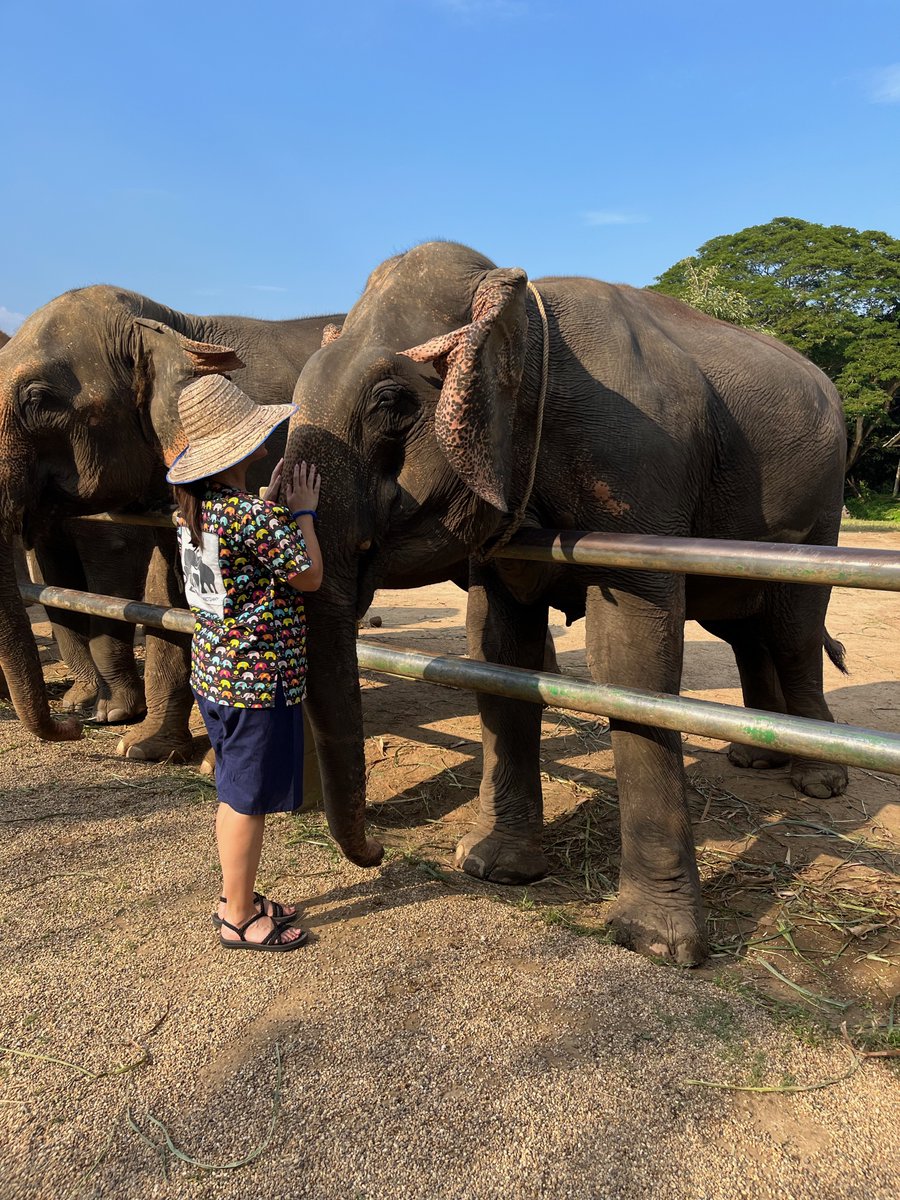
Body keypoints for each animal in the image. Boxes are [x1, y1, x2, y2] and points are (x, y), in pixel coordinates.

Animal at [0, 285, 343, 758]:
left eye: (36, 399)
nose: (73, 728)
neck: (170, 323)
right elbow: (165, 589)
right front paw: (141, 747)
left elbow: (119, 559)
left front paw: (118, 719)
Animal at [279, 240, 848, 966]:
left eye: (392, 403)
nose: (379, 850)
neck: (523, 315)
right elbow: (497, 652)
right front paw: (493, 868)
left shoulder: (636, 473)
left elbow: (630, 664)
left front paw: (656, 943)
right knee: (744, 626)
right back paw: (754, 756)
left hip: (820, 514)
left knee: (795, 630)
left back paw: (819, 781)